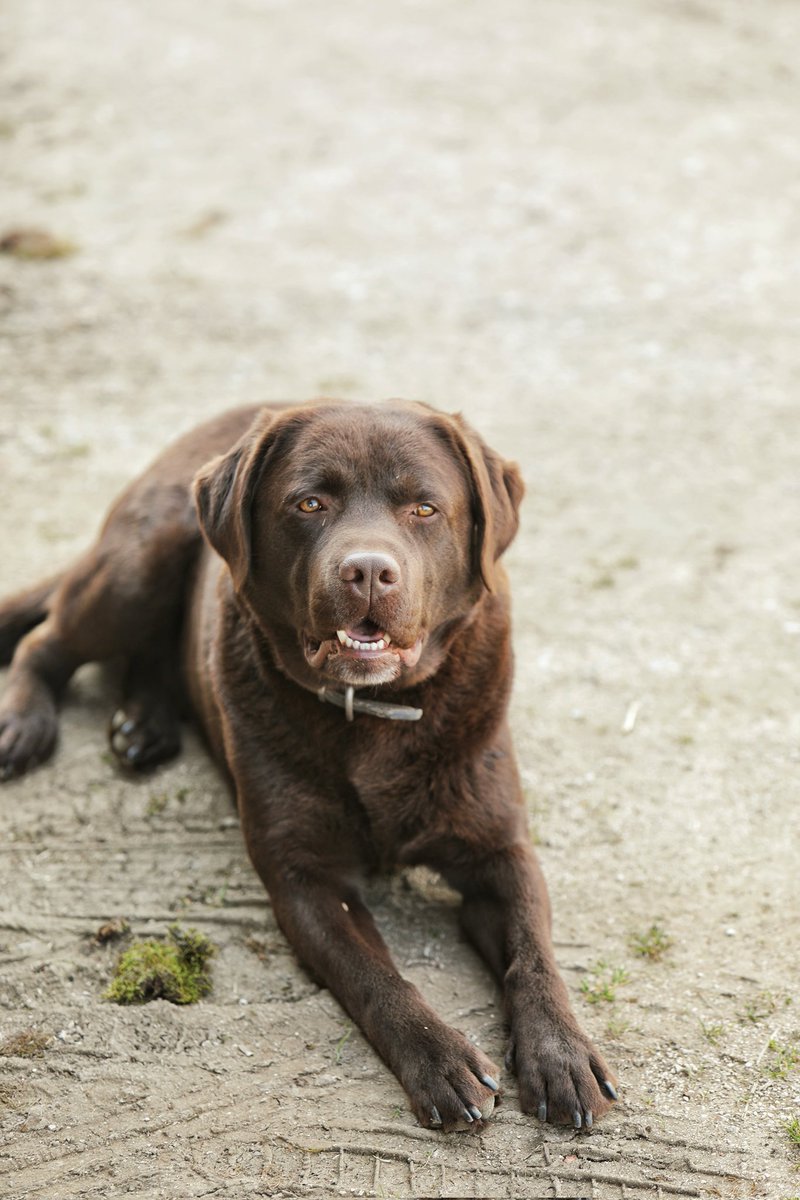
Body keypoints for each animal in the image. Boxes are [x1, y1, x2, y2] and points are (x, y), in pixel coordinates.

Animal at [0, 403, 618, 1132]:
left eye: (424, 508)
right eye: (310, 503)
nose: (369, 571)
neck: (374, 714)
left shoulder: (500, 849)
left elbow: (533, 953)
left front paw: (561, 1053)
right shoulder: (304, 877)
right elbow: (374, 975)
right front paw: (440, 1061)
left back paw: (144, 723)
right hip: (138, 562)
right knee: (48, 641)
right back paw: (23, 723)